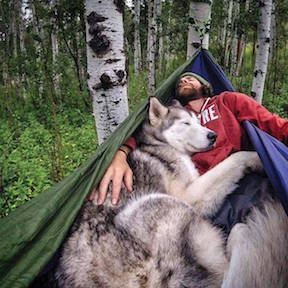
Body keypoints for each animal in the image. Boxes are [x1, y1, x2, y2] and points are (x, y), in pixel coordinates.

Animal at [54, 97, 288, 288]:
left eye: (198, 121)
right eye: (185, 123)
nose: (213, 135)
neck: (159, 145)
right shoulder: (189, 196)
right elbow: (235, 158)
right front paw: (258, 158)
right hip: (161, 204)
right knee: (225, 269)